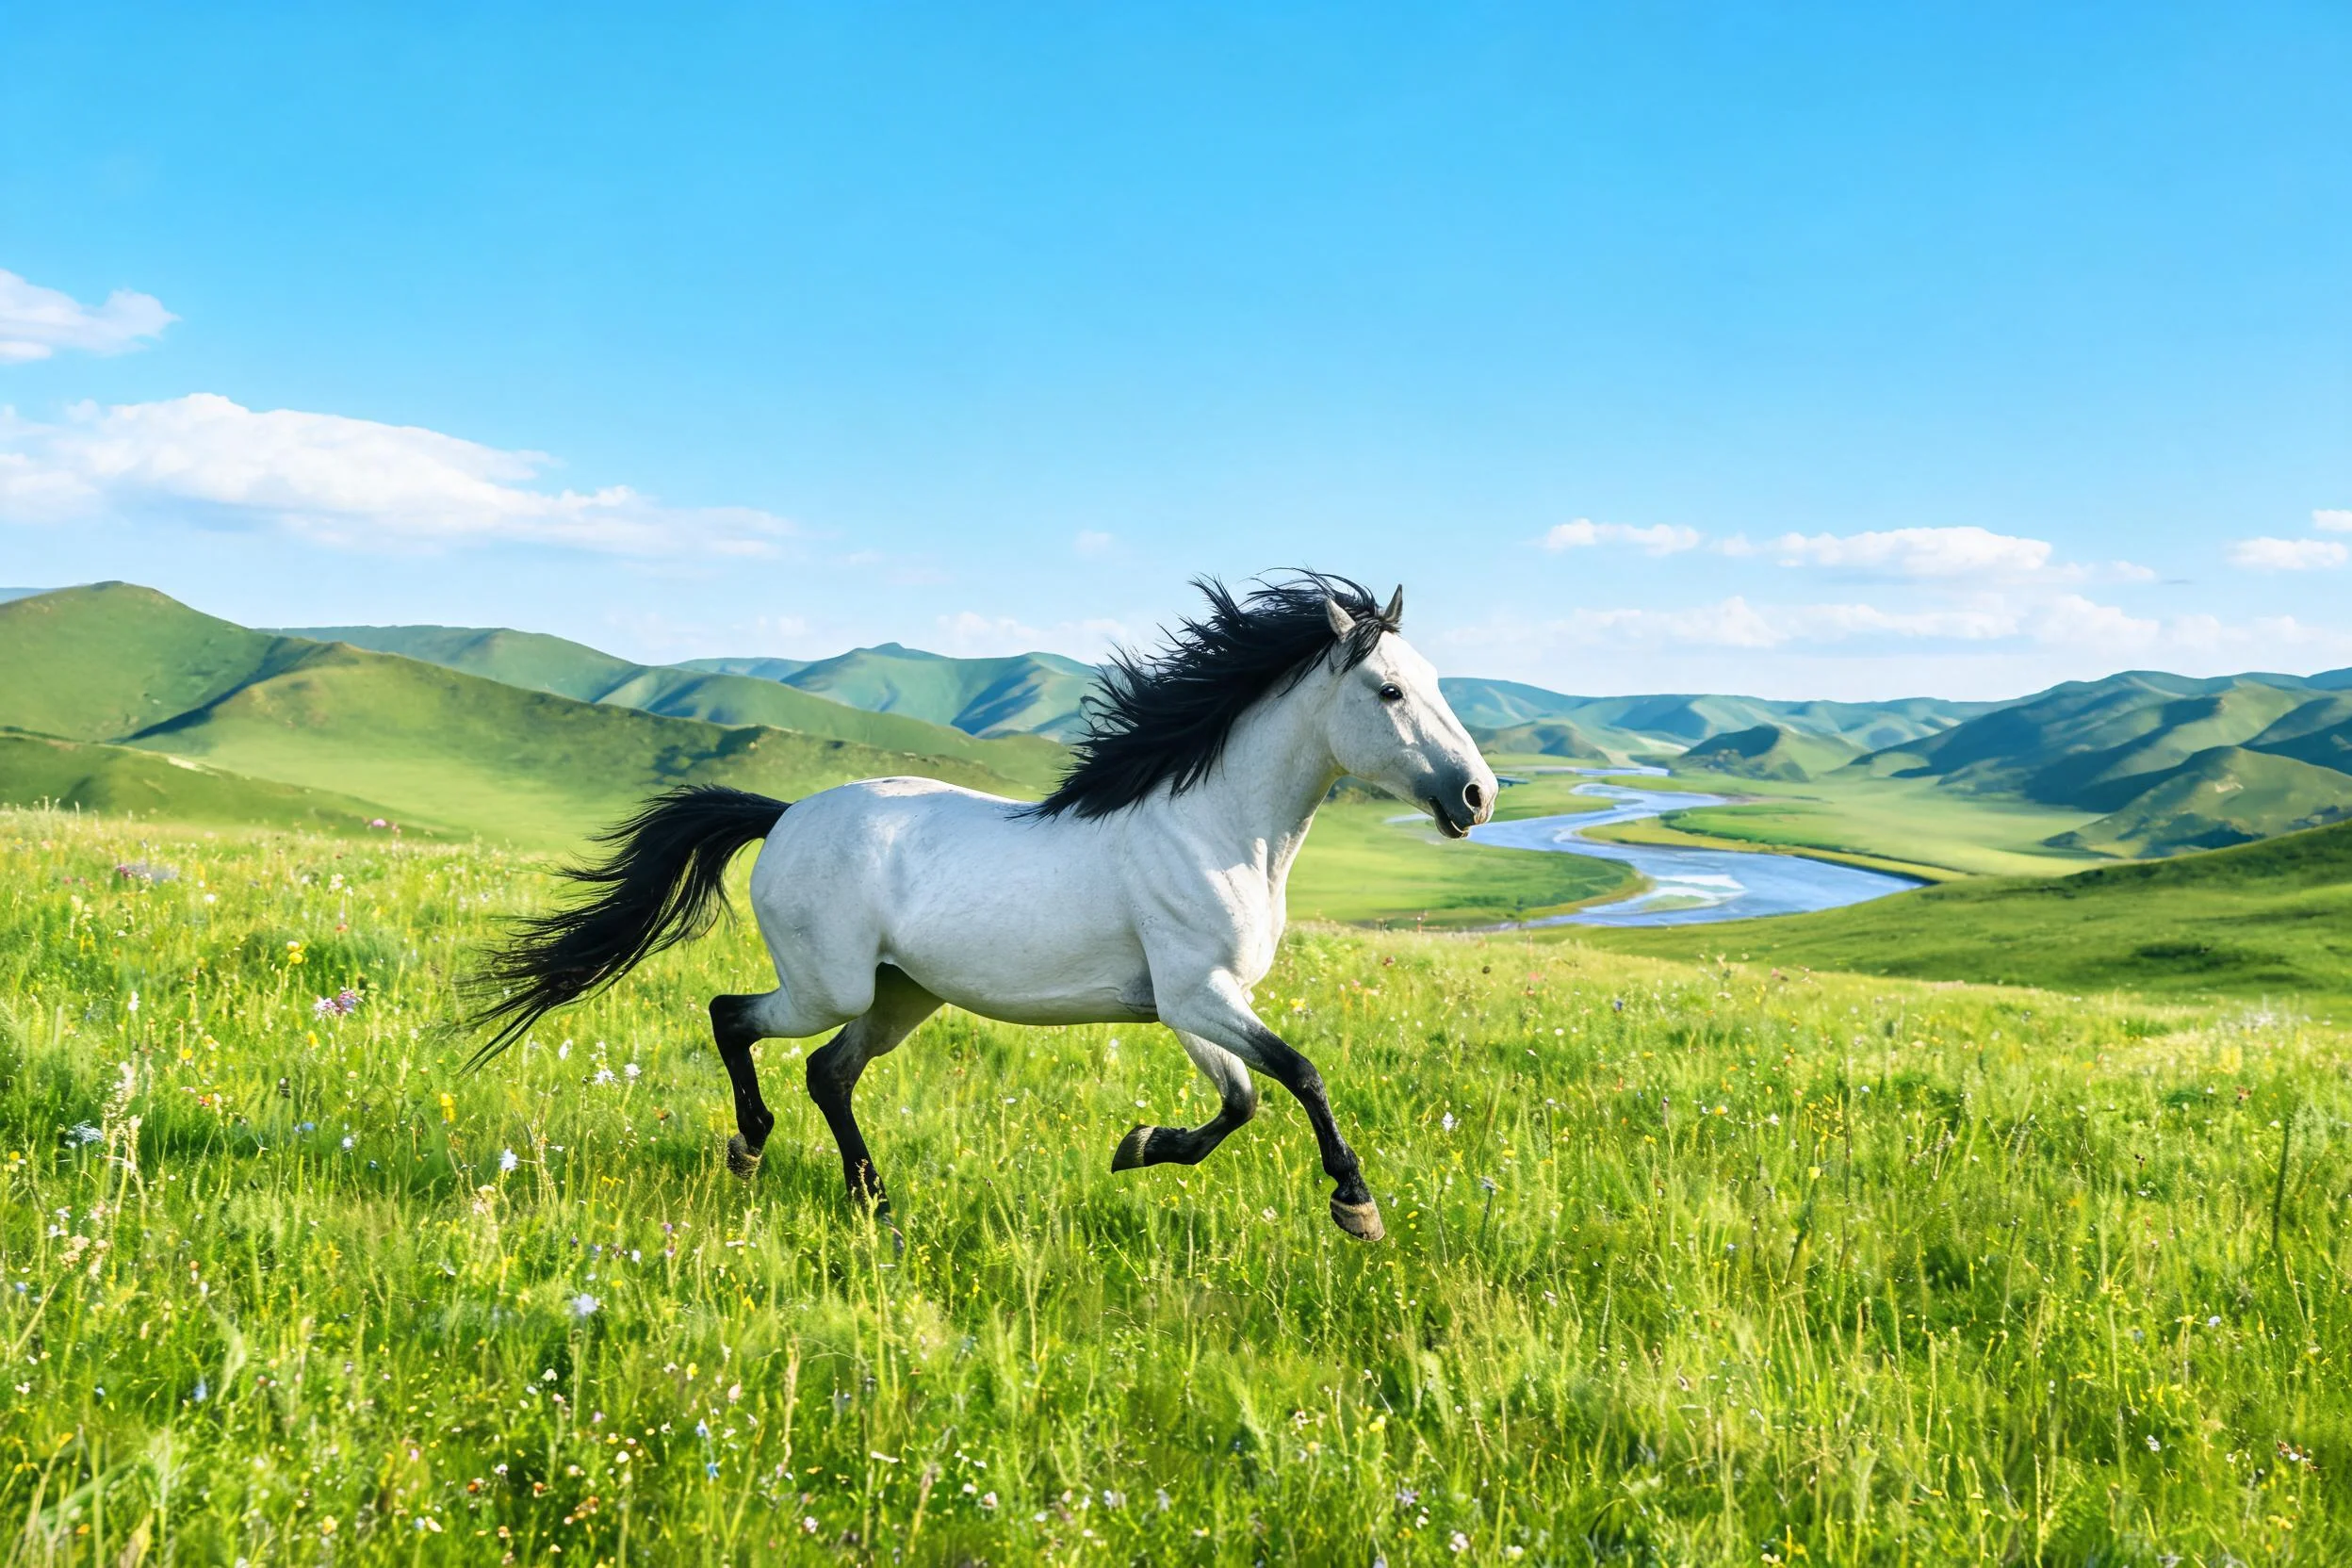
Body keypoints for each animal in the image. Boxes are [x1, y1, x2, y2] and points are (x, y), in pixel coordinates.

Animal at [466, 573, 1497, 1240]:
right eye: (1389, 690)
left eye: (1438, 683)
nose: (1479, 795)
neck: (1215, 828)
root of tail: (785, 813)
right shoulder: (1196, 994)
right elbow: (1300, 1074)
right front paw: (1356, 1204)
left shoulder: (1192, 1003)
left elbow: (1240, 1102)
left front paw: (1136, 1146)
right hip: (831, 985)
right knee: (733, 1017)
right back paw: (754, 1149)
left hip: (899, 995)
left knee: (828, 1074)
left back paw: (873, 1202)